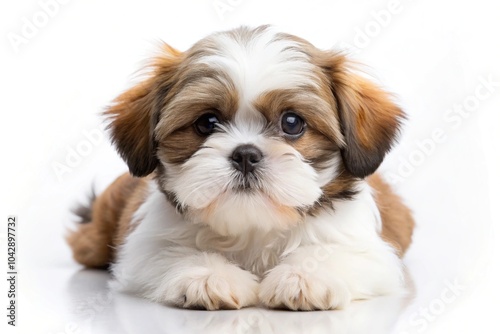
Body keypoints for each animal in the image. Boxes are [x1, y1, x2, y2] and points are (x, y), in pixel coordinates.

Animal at [68, 25, 416, 310]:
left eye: (292, 123)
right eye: (207, 122)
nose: (246, 154)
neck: (253, 228)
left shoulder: (369, 249)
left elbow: (336, 252)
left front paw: (304, 276)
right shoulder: (144, 247)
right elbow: (171, 250)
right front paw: (208, 276)